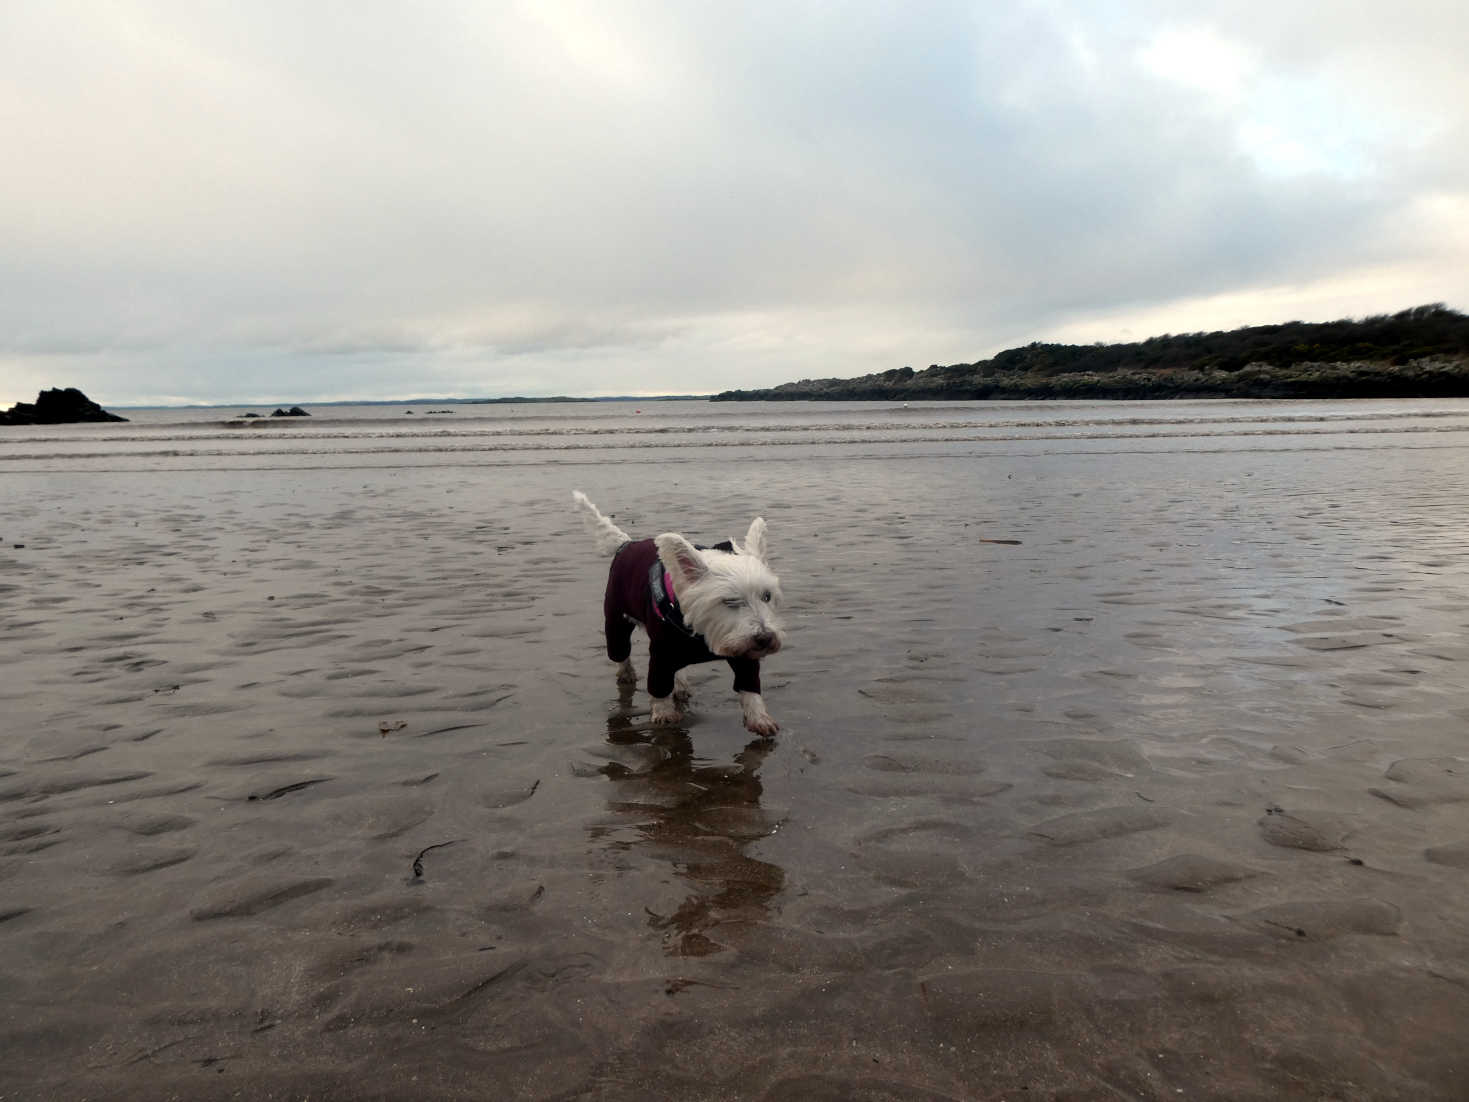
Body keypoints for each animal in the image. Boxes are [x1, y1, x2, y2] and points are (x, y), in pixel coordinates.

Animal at [572, 490, 787, 734]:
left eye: (766, 596)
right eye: (730, 601)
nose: (765, 638)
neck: (702, 636)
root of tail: (626, 543)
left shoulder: (743, 652)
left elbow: (749, 684)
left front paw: (759, 718)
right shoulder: (662, 652)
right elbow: (658, 685)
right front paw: (664, 713)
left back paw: (681, 684)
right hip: (616, 619)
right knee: (620, 652)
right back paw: (627, 674)